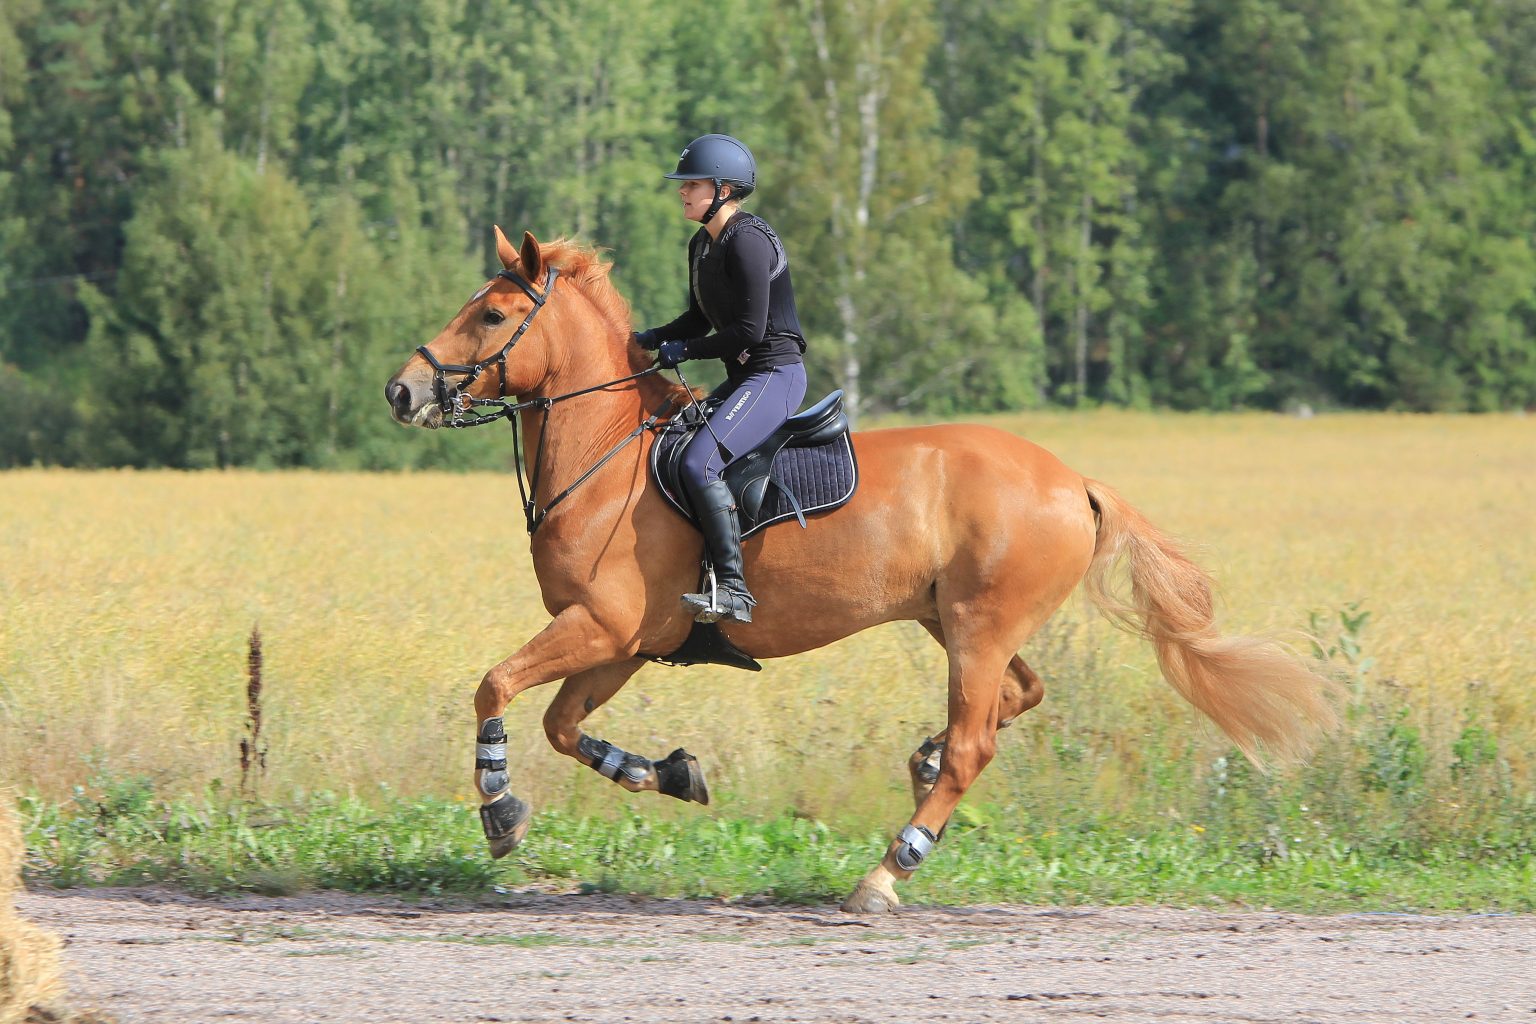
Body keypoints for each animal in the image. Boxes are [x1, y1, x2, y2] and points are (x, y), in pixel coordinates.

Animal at [384, 227, 1339, 913]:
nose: (403, 392)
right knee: (1015, 698)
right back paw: (920, 763)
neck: (607, 452)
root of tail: (1074, 481)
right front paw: (671, 774)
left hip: (979, 626)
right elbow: (560, 726)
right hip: (958, 621)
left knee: (976, 741)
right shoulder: (625, 642)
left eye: (492, 316)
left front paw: (499, 810)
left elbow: (495, 686)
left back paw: (888, 871)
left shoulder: (602, 625)